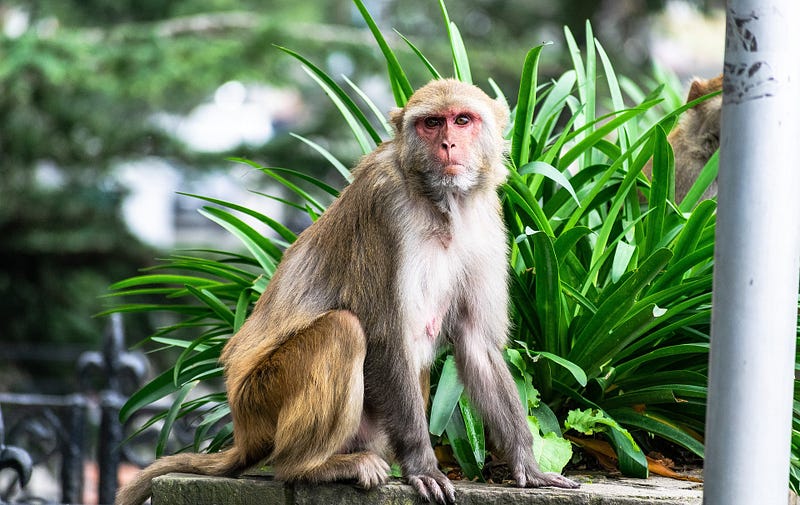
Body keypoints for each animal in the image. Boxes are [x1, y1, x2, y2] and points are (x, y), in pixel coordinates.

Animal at [115, 79, 580, 504]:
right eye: (432, 123)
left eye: (463, 120)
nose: (448, 143)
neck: (440, 203)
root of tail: (244, 432)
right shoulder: (384, 203)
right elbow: (383, 335)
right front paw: (423, 465)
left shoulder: (486, 219)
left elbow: (476, 343)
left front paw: (527, 464)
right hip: (260, 400)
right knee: (342, 331)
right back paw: (308, 468)